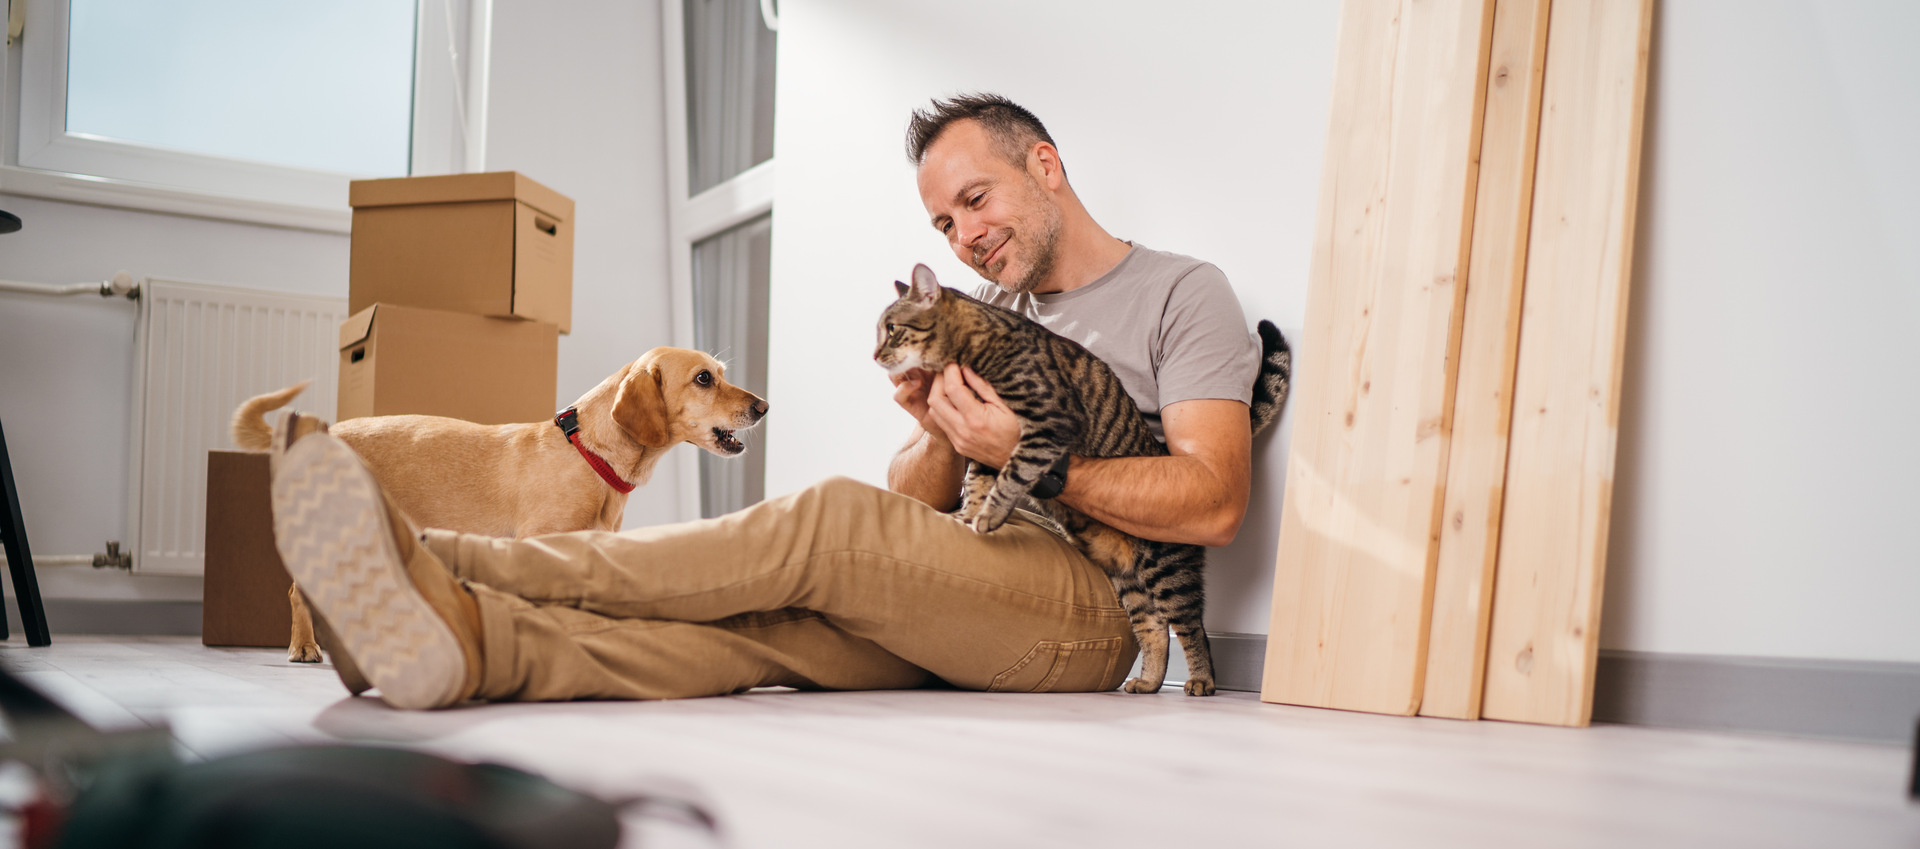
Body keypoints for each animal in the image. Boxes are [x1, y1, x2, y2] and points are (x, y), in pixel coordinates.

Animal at [228, 345, 760, 664]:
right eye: (703, 379)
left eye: (720, 374)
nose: (764, 406)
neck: (588, 455)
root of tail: (324, 431)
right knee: (298, 592)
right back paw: (303, 646)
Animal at [879, 265, 1297, 695]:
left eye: (892, 329)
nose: (876, 353)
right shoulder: (980, 446)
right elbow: (978, 485)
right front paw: (968, 518)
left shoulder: (1047, 421)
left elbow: (1012, 473)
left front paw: (987, 517)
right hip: (1130, 582)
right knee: (1154, 629)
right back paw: (1148, 681)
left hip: (1167, 569)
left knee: (1191, 627)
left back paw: (1200, 679)